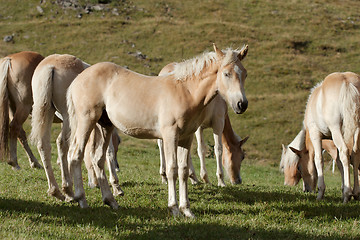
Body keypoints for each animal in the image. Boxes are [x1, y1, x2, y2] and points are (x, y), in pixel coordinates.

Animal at [28, 53, 124, 202]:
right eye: (119, 141)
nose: (118, 167)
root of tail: (51, 66)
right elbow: (108, 151)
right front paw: (116, 187)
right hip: (67, 117)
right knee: (62, 143)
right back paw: (68, 191)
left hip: (48, 112)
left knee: (43, 145)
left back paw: (56, 191)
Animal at [66, 43, 249, 218]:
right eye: (226, 73)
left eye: (245, 74)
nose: (242, 104)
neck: (186, 91)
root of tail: (78, 78)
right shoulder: (170, 135)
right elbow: (172, 169)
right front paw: (174, 208)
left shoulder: (186, 137)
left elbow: (183, 171)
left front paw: (187, 210)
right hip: (87, 121)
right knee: (76, 155)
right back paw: (81, 200)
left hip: (105, 125)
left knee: (97, 159)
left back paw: (111, 200)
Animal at [284, 71, 360, 202]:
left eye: (299, 167)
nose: (306, 190)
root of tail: (347, 82)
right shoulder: (333, 142)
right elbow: (339, 163)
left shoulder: (316, 134)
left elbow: (318, 160)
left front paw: (321, 193)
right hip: (356, 129)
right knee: (355, 156)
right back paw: (355, 192)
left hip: (336, 129)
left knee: (345, 152)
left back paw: (347, 194)